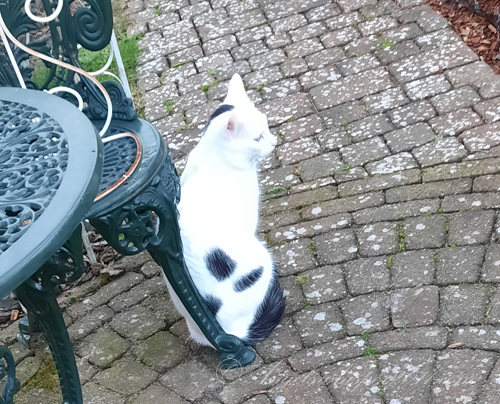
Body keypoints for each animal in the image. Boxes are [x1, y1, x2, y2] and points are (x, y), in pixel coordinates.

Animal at [164, 74, 286, 347]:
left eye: (267, 128)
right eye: (257, 138)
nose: (274, 142)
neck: (216, 157)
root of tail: (225, 335)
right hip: (262, 258)